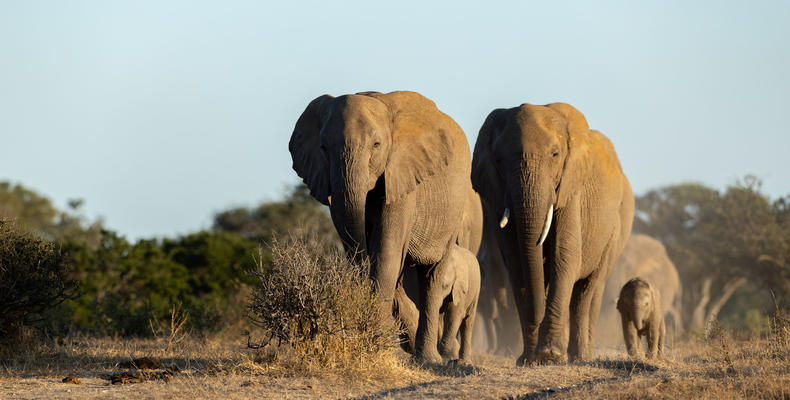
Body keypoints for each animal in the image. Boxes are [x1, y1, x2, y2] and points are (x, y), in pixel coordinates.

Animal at [288, 90, 472, 363]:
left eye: (376, 145)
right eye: (323, 148)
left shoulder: (401, 175)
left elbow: (386, 252)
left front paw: (382, 347)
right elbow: (362, 250)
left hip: (453, 212)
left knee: (432, 276)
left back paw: (428, 359)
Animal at [471, 102, 634, 364]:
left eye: (555, 155)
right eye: (498, 159)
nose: (535, 318)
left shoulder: (570, 190)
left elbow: (564, 256)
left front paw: (549, 356)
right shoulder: (496, 200)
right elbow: (516, 262)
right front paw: (529, 359)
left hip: (615, 228)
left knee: (587, 291)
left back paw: (580, 357)